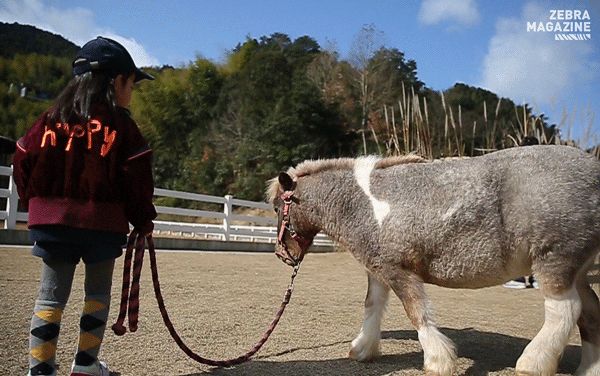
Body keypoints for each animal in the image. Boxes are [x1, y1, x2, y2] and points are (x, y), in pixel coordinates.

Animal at [270, 146, 600, 376]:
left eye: (276, 207)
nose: (282, 255)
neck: (365, 205)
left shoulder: (399, 271)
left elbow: (417, 313)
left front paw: (438, 361)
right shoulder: (378, 270)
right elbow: (372, 307)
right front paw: (363, 350)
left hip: (555, 261)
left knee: (565, 311)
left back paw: (532, 363)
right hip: (578, 270)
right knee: (590, 313)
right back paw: (589, 368)